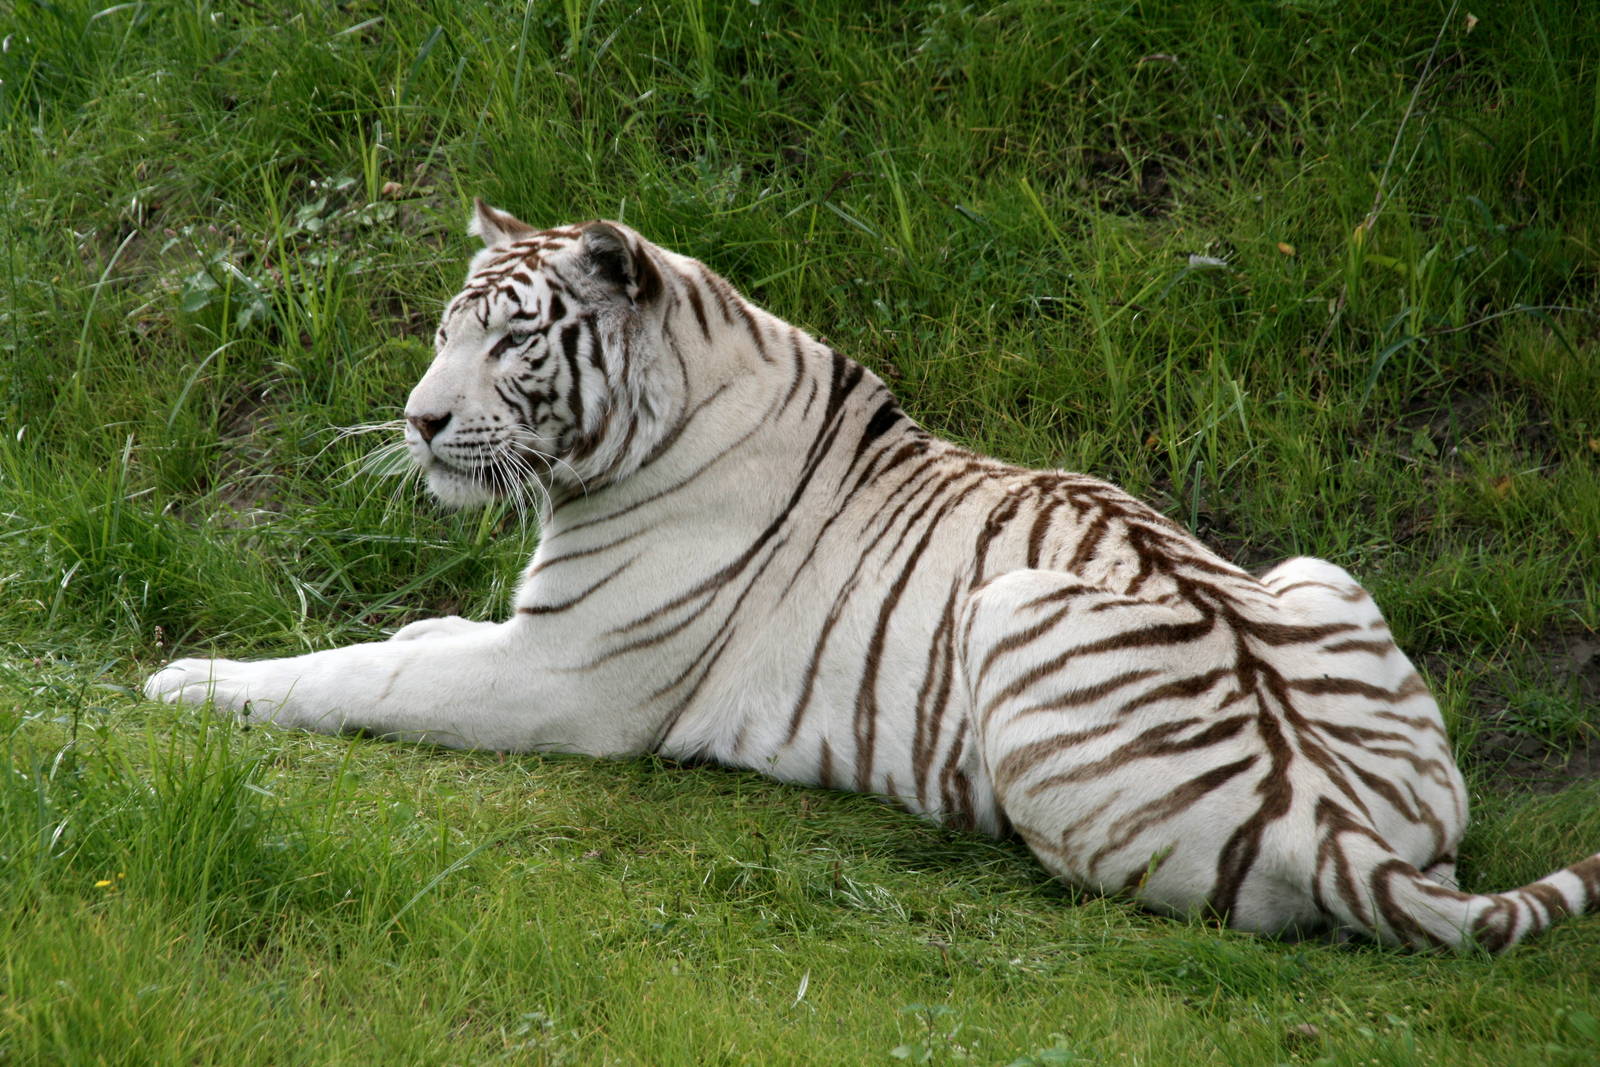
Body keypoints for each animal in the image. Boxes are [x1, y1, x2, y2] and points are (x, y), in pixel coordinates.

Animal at [146, 200, 1600, 951]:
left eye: (512, 343)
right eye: (448, 329)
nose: (418, 420)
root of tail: (1340, 820)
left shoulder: (563, 680)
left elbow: (360, 671)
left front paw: (189, 681)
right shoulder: (532, 637)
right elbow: (423, 632)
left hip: (1012, 611)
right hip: (1316, 572)